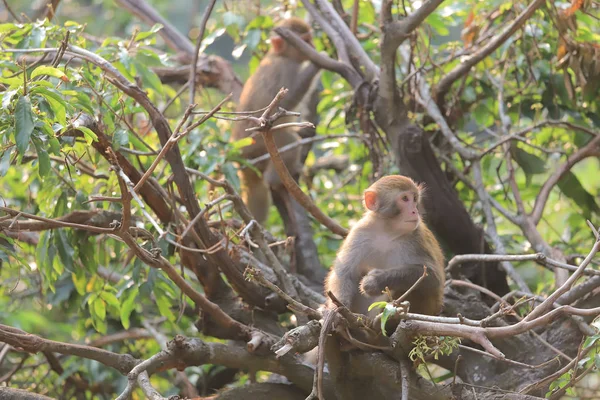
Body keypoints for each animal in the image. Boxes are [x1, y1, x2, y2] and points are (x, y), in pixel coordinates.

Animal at [324, 175, 446, 318]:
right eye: (405, 198)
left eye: (415, 199)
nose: (415, 211)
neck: (387, 232)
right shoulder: (359, 233)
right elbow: (345, 273)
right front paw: (337, 311)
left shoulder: (417, 238)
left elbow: (433, 277)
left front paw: (376, 280)